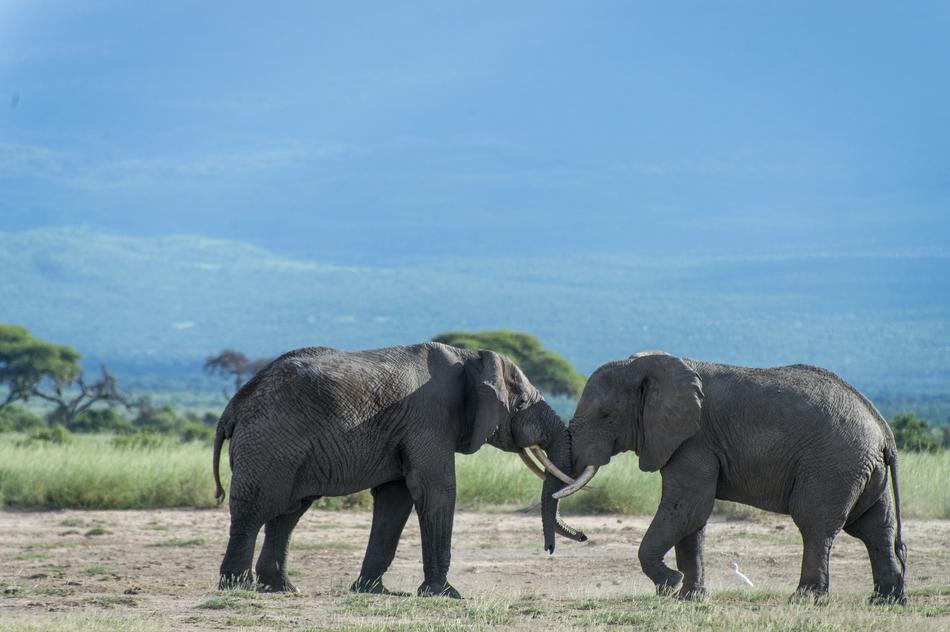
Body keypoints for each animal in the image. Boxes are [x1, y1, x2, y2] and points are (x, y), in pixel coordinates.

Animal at [211, 342, 586, 598]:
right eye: (520, 404)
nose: (578, 538)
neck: (468, 357)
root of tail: (233, 407)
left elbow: (396, 498)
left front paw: (371, 591)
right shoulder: (429, 419)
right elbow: (436, 490)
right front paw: (446, 594)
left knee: (288, 513)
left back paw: (283, 588)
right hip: (269, 442)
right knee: (256, 510)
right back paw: (236, 587)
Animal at [558, 351, 906, 604]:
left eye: (606, 416)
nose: (582, 536)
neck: (653, 363)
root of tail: (882, 430)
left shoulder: (694, 440)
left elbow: (688, 508)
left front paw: (669, 585)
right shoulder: (687, 441)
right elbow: (693, 518)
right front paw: (689, 598)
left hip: (832, 466)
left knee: (816, 526)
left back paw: (805, 599)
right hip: (861, 469)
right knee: (876, 528)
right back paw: (885, 601)